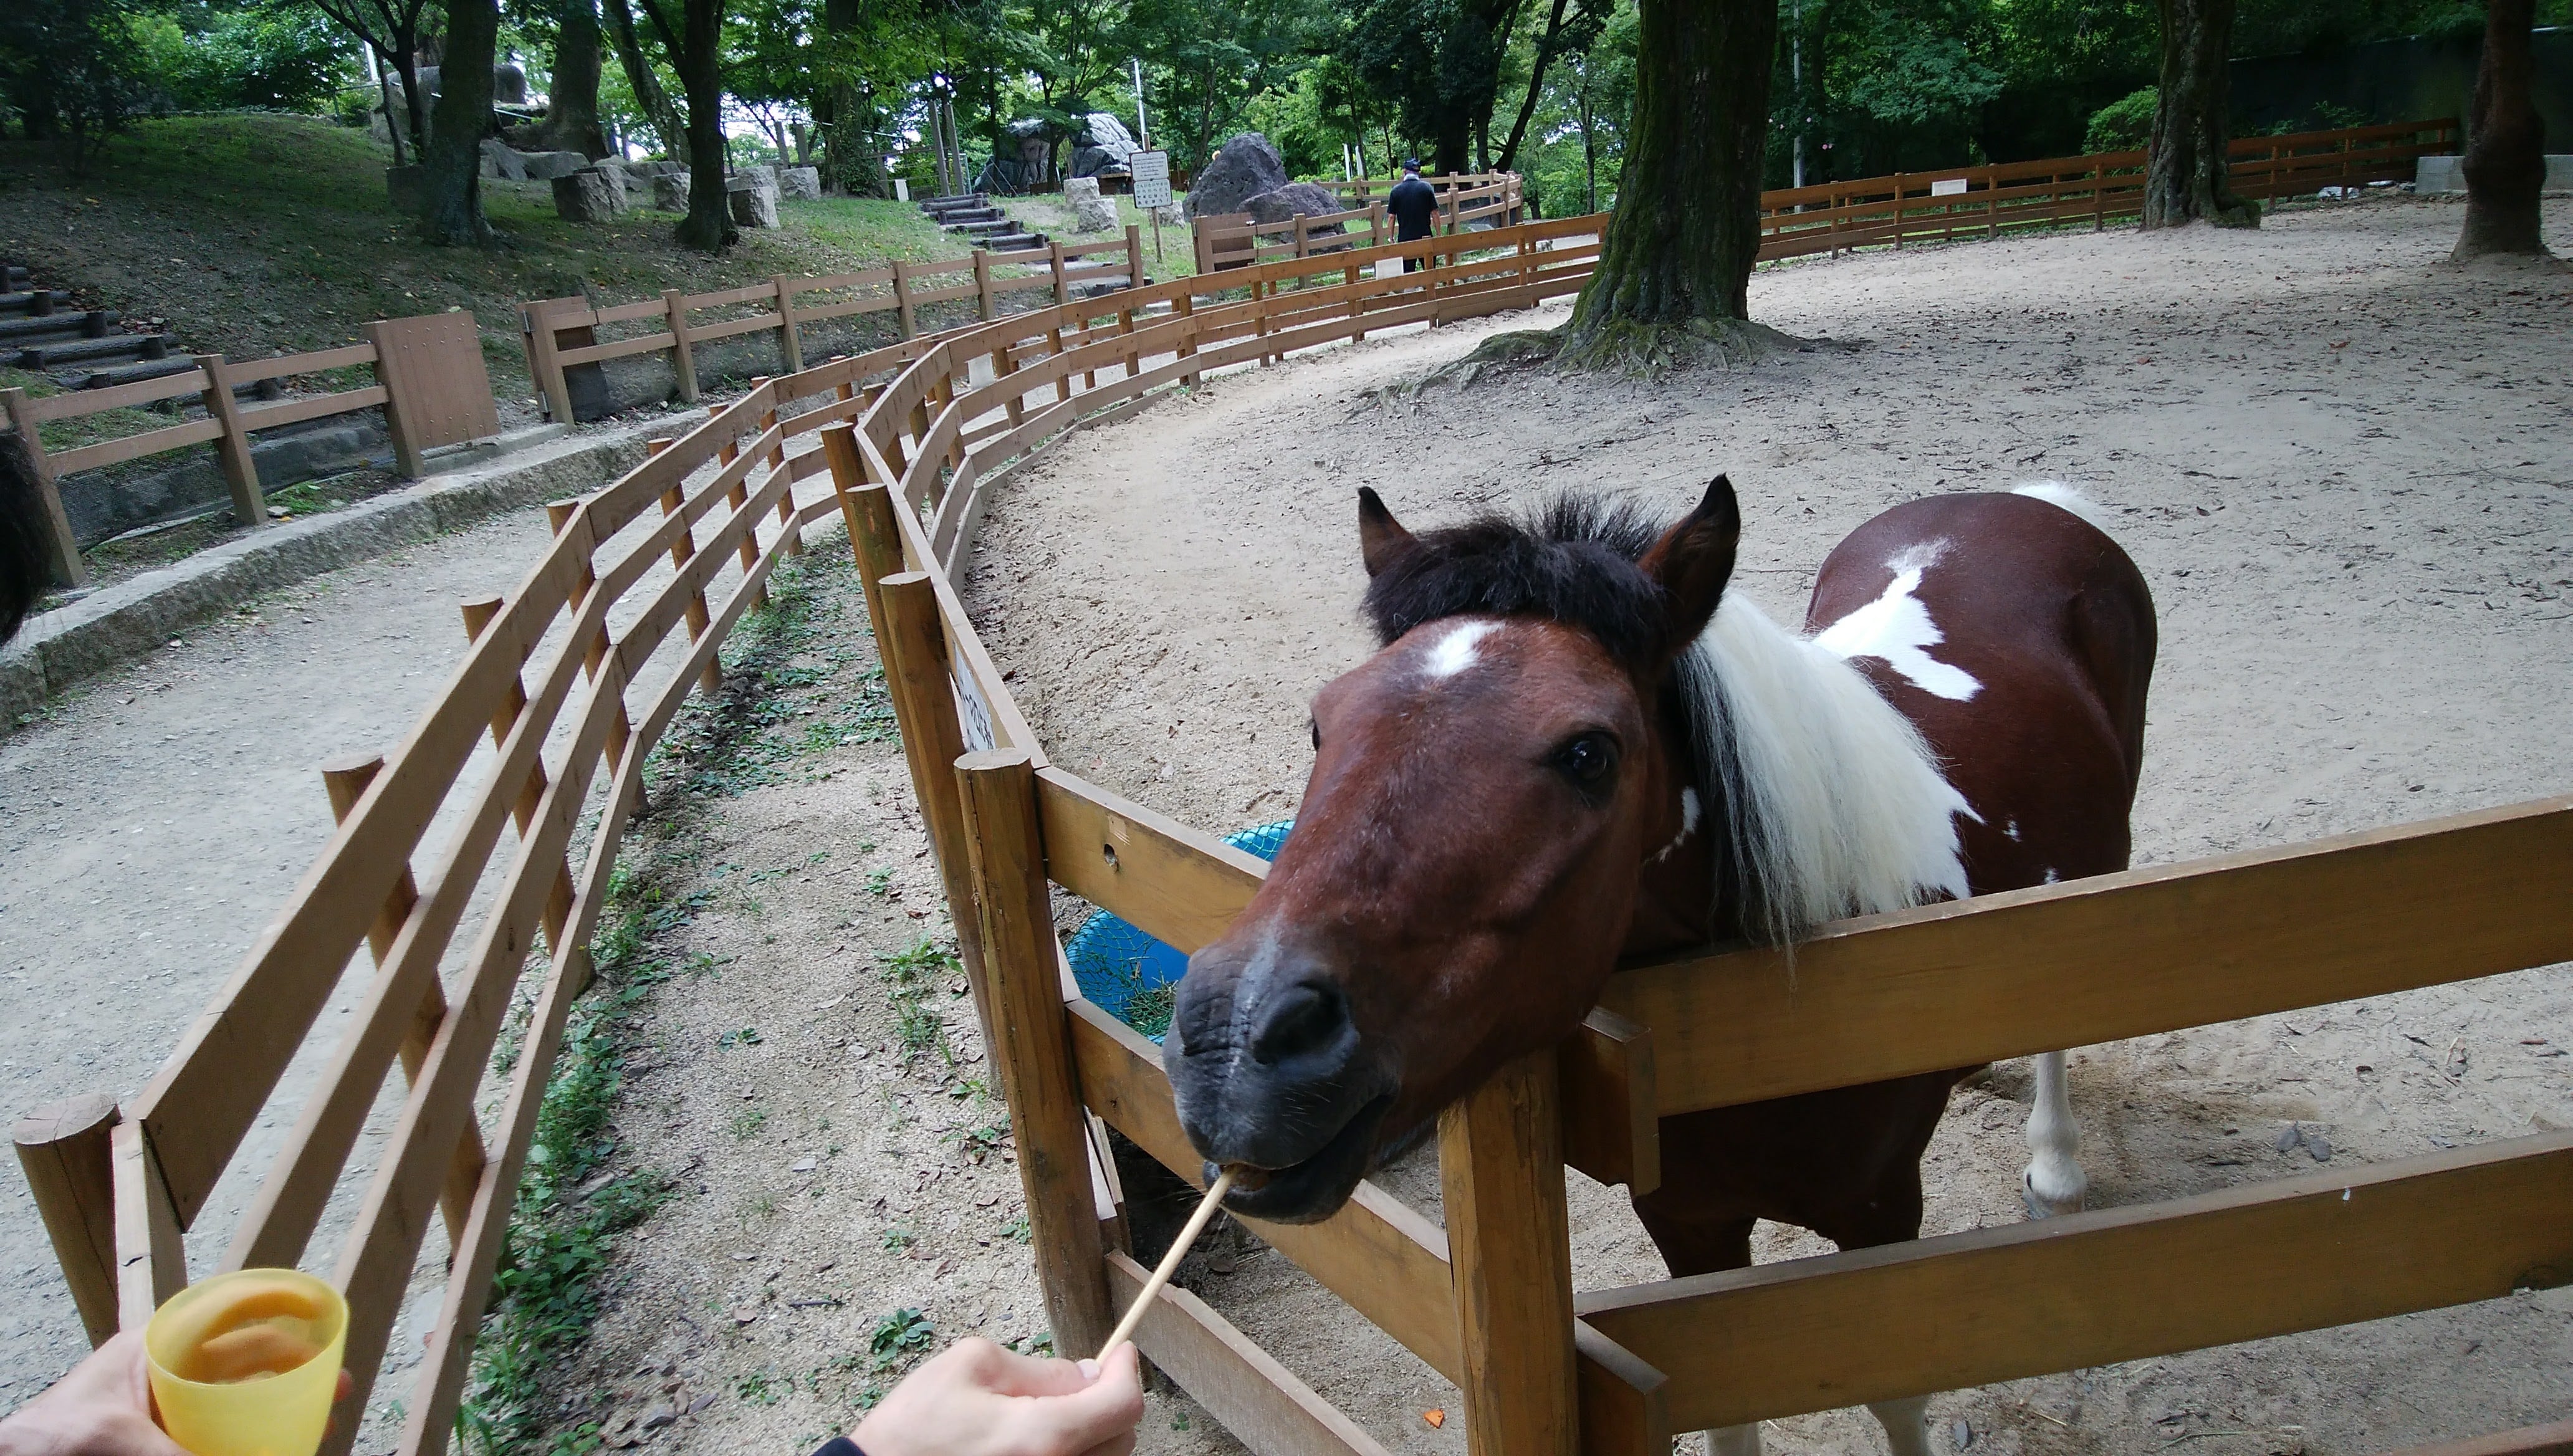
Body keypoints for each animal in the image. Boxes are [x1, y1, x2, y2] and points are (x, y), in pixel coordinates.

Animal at [1168, 481, 2151, 1456]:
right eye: (1321, 723)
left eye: (1589, 753)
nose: (1233, 1045)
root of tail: (2018, 499)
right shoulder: (1690, 1224)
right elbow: (1733, 1415)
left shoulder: (1880, 1218)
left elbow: (1900, 1401)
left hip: (2095, 876)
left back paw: (2056, 1171)